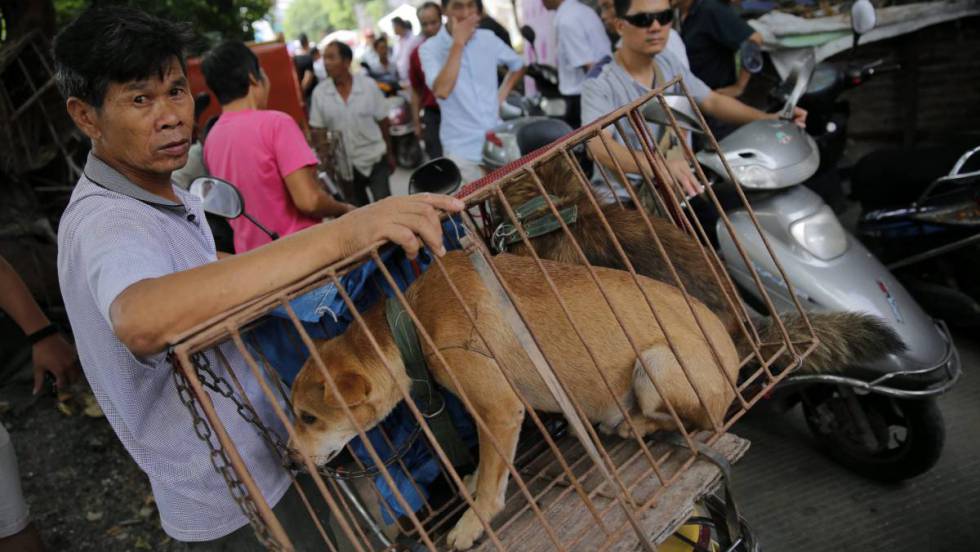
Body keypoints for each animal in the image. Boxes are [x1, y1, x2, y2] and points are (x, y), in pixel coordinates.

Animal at [290, 252, 736, 548]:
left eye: (307, 417)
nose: (290, 462)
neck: (411, 324)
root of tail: (731, 358)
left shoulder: (500, 410)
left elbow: (492, 481)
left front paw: (473, 524)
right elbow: (485, 465)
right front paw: (471, 482)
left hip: (655, 362)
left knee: (697, 421)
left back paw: (630, 423)